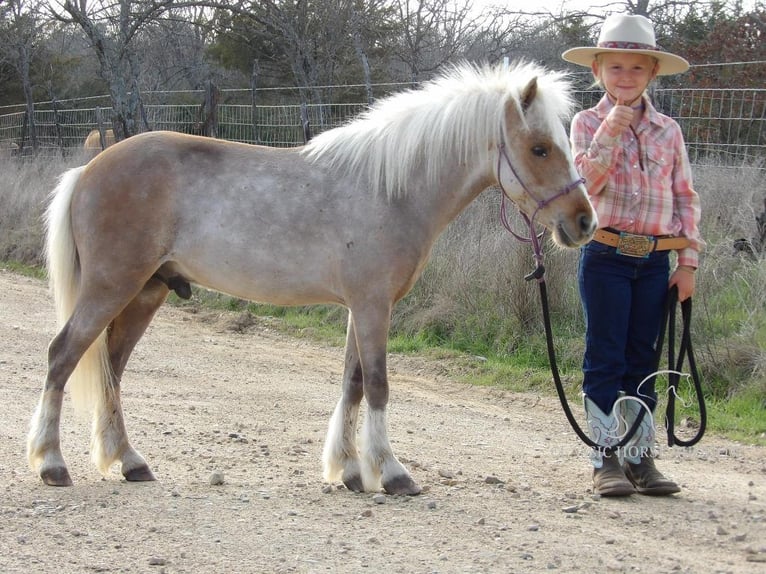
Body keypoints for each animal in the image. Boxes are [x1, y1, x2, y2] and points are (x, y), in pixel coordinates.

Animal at [25, 62, 600, 496]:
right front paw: (392, 473)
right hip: (111, 287)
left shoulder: (359, 308)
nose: (584, 222)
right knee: (63, 355)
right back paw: (53, 464)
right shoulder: (372, 306)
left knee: (111, 369)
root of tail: (89, 169)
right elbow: (378, 385)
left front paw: (349, 471)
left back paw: (130, 461)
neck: (390, 189)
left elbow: (352, 384)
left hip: (144, 293)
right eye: (540, 147)